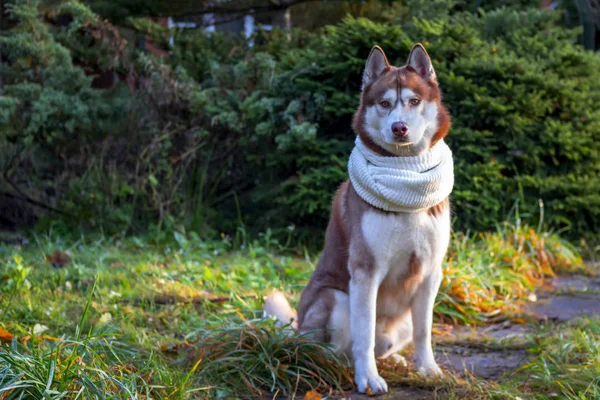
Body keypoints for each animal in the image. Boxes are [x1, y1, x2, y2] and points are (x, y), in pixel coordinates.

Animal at [264, 43, 452, 394]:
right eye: (385, 103)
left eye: (414, 101)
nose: (399, 127)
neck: (406, 178)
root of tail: (296, 330)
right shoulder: (366, 271)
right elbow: (363, 334)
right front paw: (368, 379)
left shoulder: (430, 272)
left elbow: (424, 330)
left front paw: (428, 368)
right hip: (334, 298)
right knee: (332, 348)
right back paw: (335, 365)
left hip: (400, 323)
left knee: (389, 341)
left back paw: (394, 360)